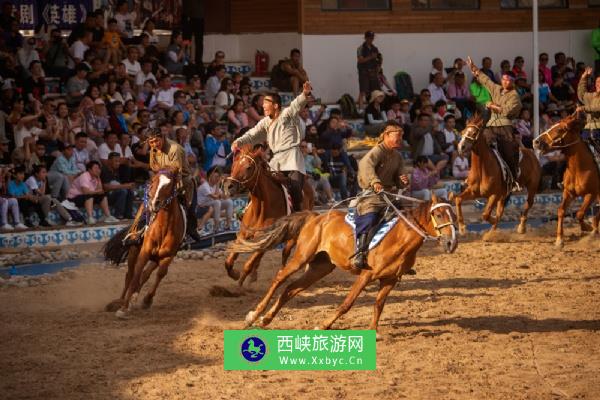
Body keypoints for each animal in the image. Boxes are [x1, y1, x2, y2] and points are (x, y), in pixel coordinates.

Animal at [103, 167, 185, 318]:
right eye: (153, 181)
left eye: (169, 184)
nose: (154, 202)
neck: (163, 228)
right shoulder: (144, 251)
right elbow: (136, 274)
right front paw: (123, 308)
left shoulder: (168, 256)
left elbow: (160, 274)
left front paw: (147, 300)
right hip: (134, 250)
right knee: (130, 275)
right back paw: (120, 301)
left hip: (156, 257)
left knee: (146, 274)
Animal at [220, 145, 314, 286]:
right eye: (234, 164)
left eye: (249, 167)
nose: (228, 186)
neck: (260, 210)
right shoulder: (243, 235)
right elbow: (229, 262)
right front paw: (236, 274)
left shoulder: (266, 239)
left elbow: (248, 265)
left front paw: (240, 281)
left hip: (294, 236)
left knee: (285, 252)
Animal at [232, 192, 458, 336]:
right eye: (438, 214)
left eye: (454, 215)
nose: (451, 243)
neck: (399, 237)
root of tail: (316, 217)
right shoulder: (366, 275)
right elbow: (346, 304)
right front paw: (323, 325)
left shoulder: (390, 280)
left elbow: (378, 305)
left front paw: (373, 331)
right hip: (302, 257)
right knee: (279, 278)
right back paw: (254, 315)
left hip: (320, 267)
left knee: (290, 289)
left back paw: (266, 319)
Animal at [536, 111, 600, 247]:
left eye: (561, 129)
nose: (536, 141)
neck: (579, 168)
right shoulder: (568, 192)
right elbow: (561, 210)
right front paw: (559, 240)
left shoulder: (591, 193)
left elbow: (580, 213)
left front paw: (589, 228)